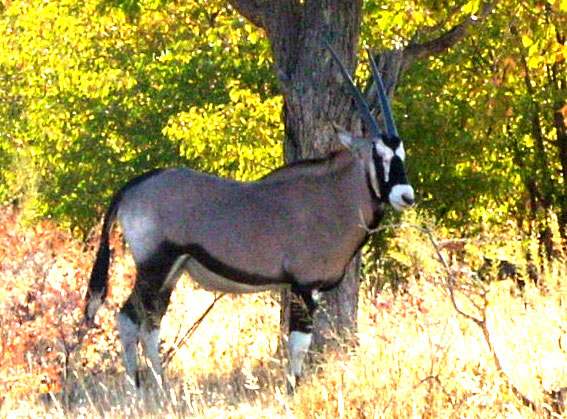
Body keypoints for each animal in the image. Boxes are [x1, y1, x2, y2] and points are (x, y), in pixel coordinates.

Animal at [84, 41, 414, 388]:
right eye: (378, 155)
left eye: (401, 155)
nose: (406, 196)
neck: (333, 195)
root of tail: (134, 186)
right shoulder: (304, 286)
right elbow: (299, 343)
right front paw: (292, 389)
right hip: (154, 266)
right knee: (129, 318)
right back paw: (137, 386)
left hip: (171, 272)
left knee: (151, 322)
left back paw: (162, 387)